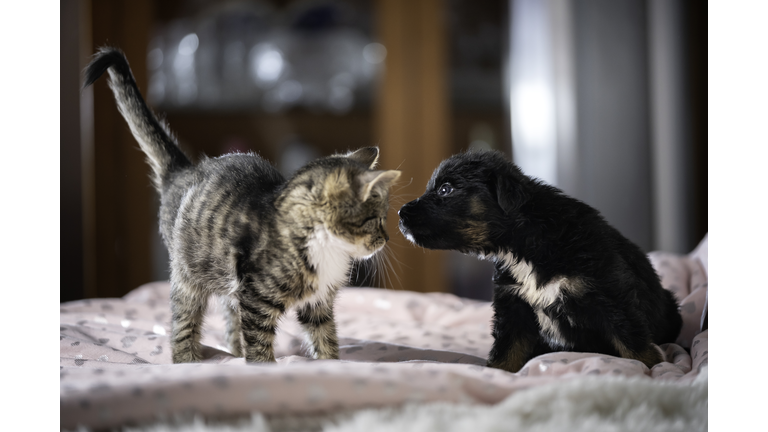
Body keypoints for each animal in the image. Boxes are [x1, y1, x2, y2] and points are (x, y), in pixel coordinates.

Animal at [82, 47, 402, 362]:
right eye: (376, 219)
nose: (386, 239)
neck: (325, 247)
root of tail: (184, 171)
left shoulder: (317, 304)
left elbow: (325, 339)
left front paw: (330, 365)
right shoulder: (255, 298)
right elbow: (259, 346)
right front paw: (264, 368)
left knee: (229, 318)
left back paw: (234, 354)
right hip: (188, 275)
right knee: (184, 322)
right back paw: (187, 361)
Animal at [400, 150, 680, 372]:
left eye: (445, 189)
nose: (401, 213)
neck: (523, 245)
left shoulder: (611, 296)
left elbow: (634, 343)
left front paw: (657, 370)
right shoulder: (513, 307)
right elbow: (506, 351)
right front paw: (497, 373)